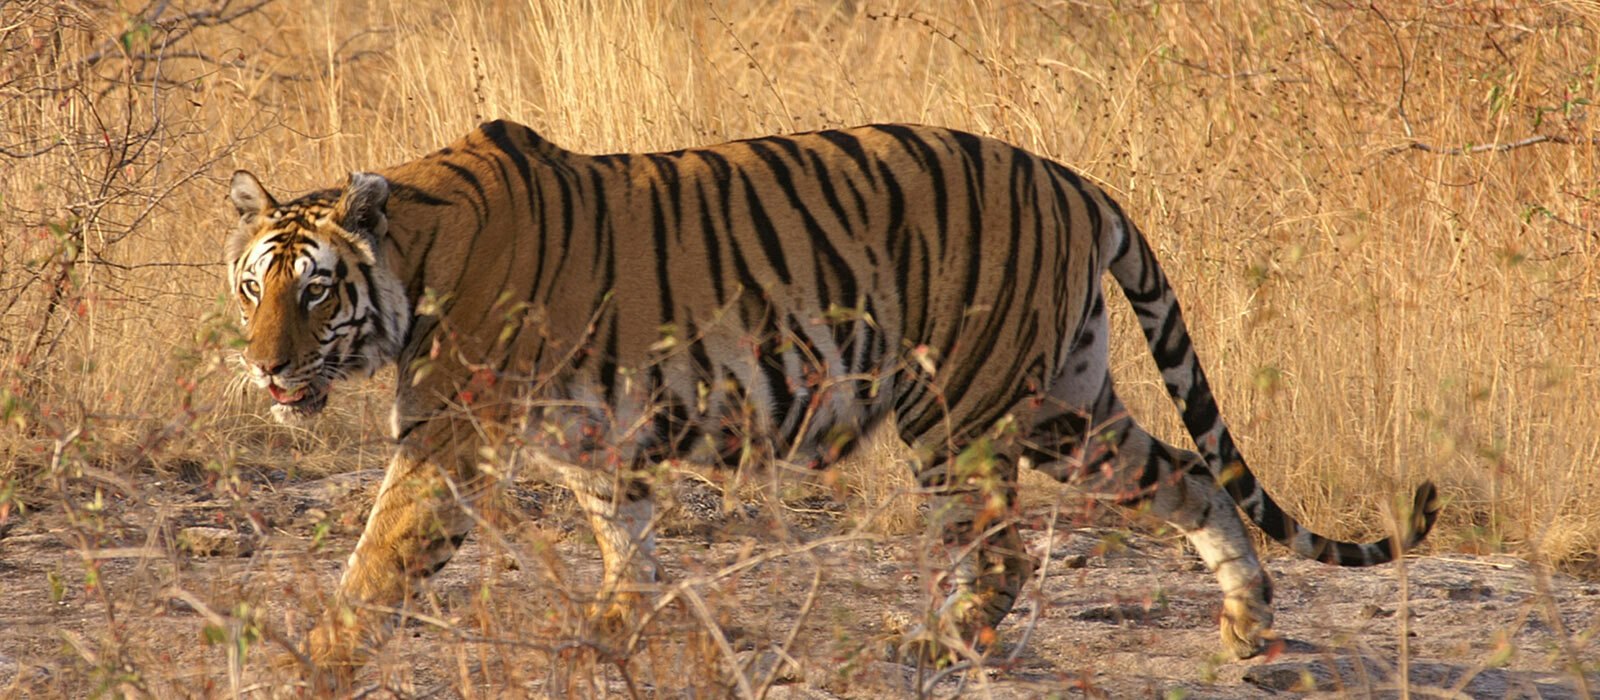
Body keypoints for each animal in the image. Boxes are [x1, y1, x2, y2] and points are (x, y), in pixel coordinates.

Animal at [225, 119, 1440, 684]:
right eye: (253, 288)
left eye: (316, 292)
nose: (270, 371)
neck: (412, 260)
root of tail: (1074, 179)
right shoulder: (595, 436)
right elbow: (627, 536)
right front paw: (617, 630)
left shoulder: (448, 438)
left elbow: (377, 558)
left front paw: (311, 660)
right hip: (1065, 397)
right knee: (1186, 474)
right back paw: (1247, 623)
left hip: (964, 405)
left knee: (1001, 551)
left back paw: (935, 644)